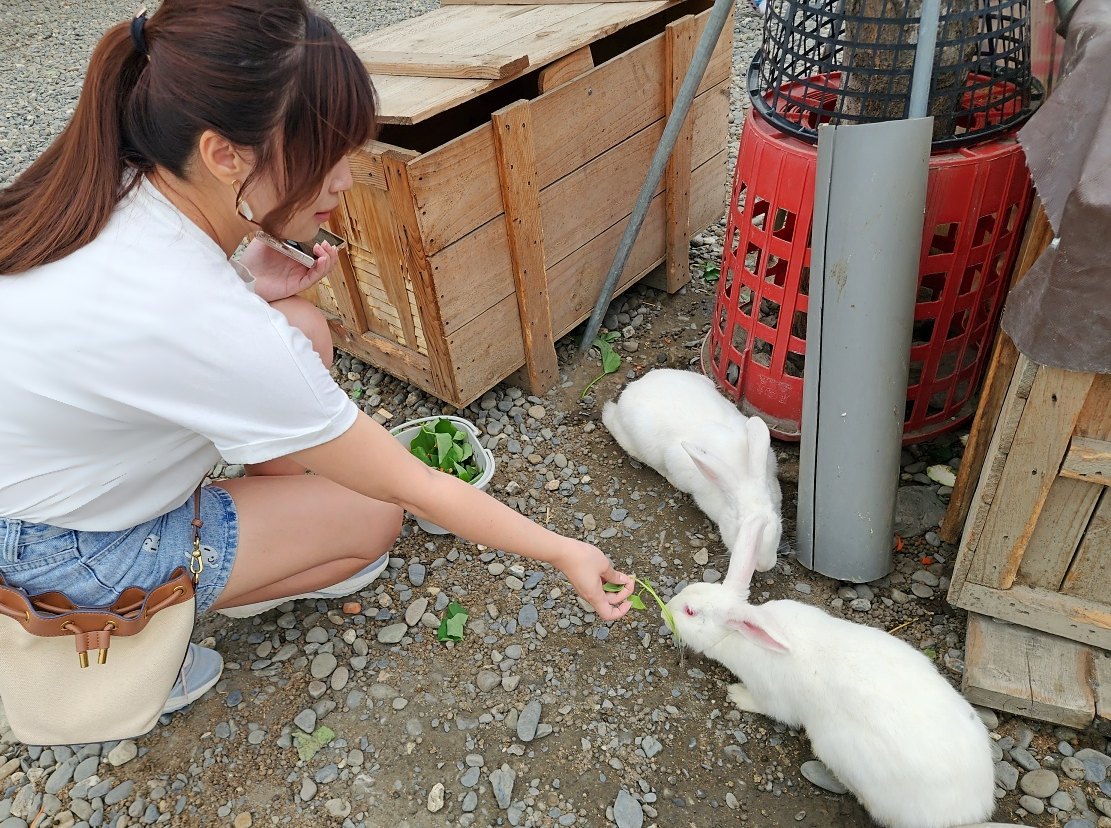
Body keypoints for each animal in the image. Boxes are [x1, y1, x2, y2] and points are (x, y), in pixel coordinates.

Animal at [666, 513, 999, 826]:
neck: (737, 635)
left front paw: (735, 694)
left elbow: (766, 706)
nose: (665, 609)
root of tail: (972, 809)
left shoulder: (771, 697)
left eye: (690, 612)